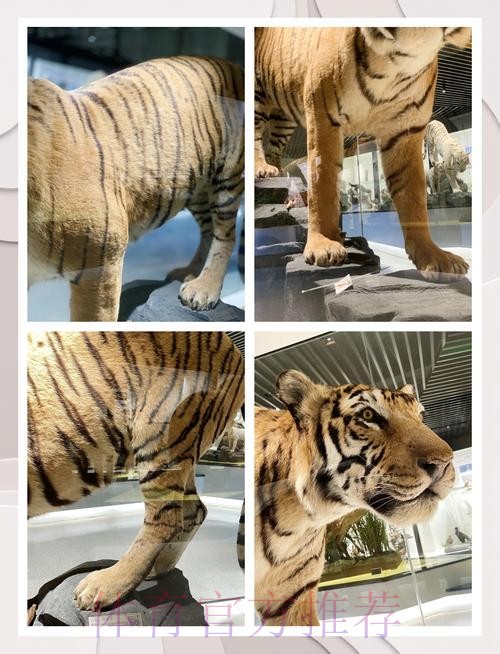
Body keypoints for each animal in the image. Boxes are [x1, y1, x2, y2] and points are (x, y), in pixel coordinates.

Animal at [28, 56, 244, 321]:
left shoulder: (101, 263)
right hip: (195, 187)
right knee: (208, 230)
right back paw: (190, 272)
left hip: (228, 178)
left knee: (226, 235)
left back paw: (204, 289)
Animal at [28, 331, 244, 612]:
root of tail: (234, 349)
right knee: (194, 510)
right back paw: (157, 569)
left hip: (162, 437)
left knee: (165, 517)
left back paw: (107, 584)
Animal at [255, 27, 471, 276]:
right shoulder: (323, 116)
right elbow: (322, 184)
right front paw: (324, 245)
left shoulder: (405, 129)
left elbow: (413, 195)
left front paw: (432, 254)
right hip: (257, 94)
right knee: (253, 132)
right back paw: (262, 169)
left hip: (284, 117)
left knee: (273, 146)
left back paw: (277, 176)